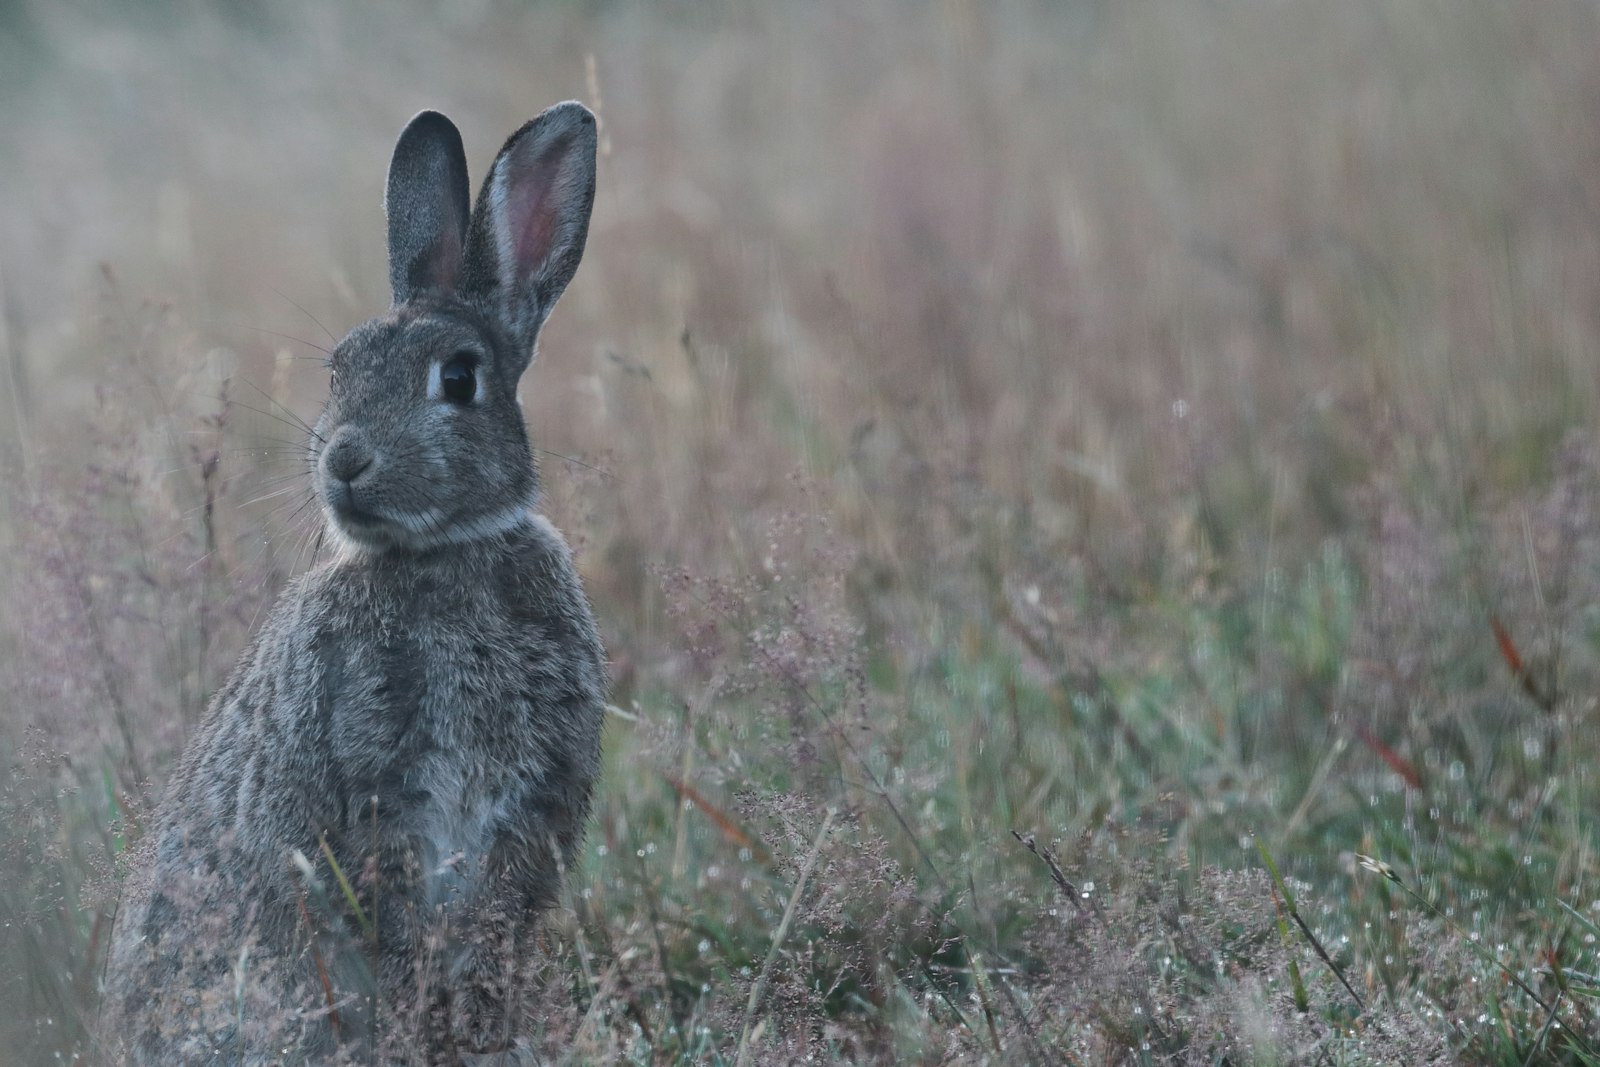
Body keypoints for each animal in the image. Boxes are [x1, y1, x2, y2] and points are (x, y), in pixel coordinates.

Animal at [100, 102, 608, 1067]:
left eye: (459, 377)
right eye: (338, 367)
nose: (343, 461)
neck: (444, 552)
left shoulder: (524, 816)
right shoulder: (375, 797)